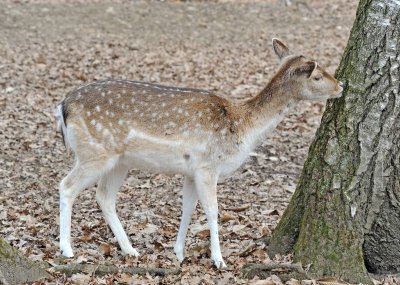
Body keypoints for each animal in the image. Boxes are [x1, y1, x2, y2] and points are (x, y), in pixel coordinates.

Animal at [56, 38, 344, 268]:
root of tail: (63, 106)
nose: (341, 85)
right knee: (67, 185)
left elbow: (188, 206)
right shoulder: (208, 166)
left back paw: (130, 250)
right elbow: (212, 209)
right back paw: (67, 249)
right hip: (95, 152)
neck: (242, 128)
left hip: (119, 162)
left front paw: (179, 252)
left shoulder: (191, 170)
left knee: (104, 196)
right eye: (317, 76)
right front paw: (219, 260)